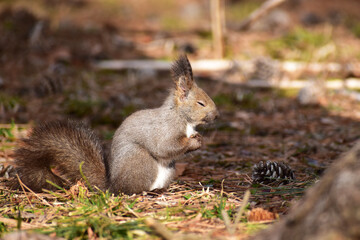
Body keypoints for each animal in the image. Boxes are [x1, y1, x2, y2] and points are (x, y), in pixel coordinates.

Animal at [9, 54, 219, 195]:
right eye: (201, 103)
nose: (217, 116)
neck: (182, 117)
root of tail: (112, 187)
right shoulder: (166, 128)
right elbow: (165, 146)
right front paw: (194, 142)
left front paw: (200, 139)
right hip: (140, 160)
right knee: (132, 189)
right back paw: (147, 191)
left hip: (169, 170)